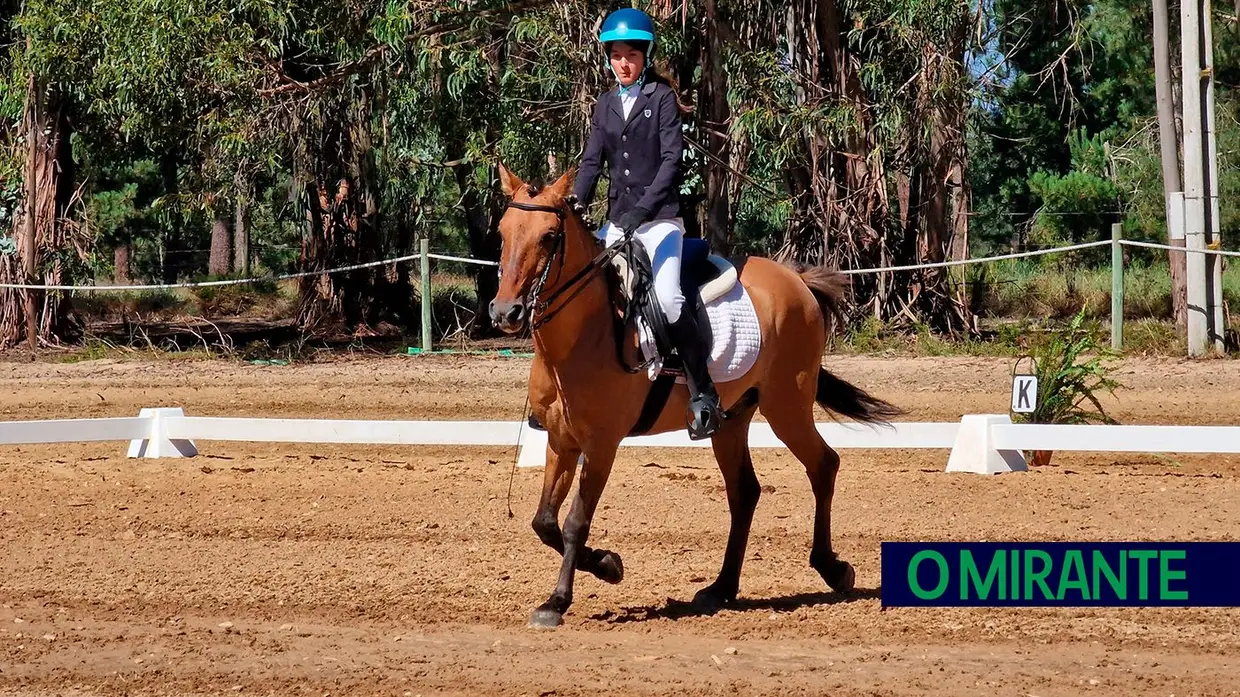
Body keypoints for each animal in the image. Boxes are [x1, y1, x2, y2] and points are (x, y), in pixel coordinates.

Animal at [486, 159, 902, 627]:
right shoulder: (561, 440)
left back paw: (833, 569)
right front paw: (608, 564)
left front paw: (557, 601)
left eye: (549, 236)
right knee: (745, 491)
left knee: (823, 465)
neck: (581, 337)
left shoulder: (601, 445)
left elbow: (575, 521)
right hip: (732, 418)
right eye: (503, 231)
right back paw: (721, 589)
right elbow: (544, 522)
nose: (506, 312)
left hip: (787, 406)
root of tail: (795, 278)